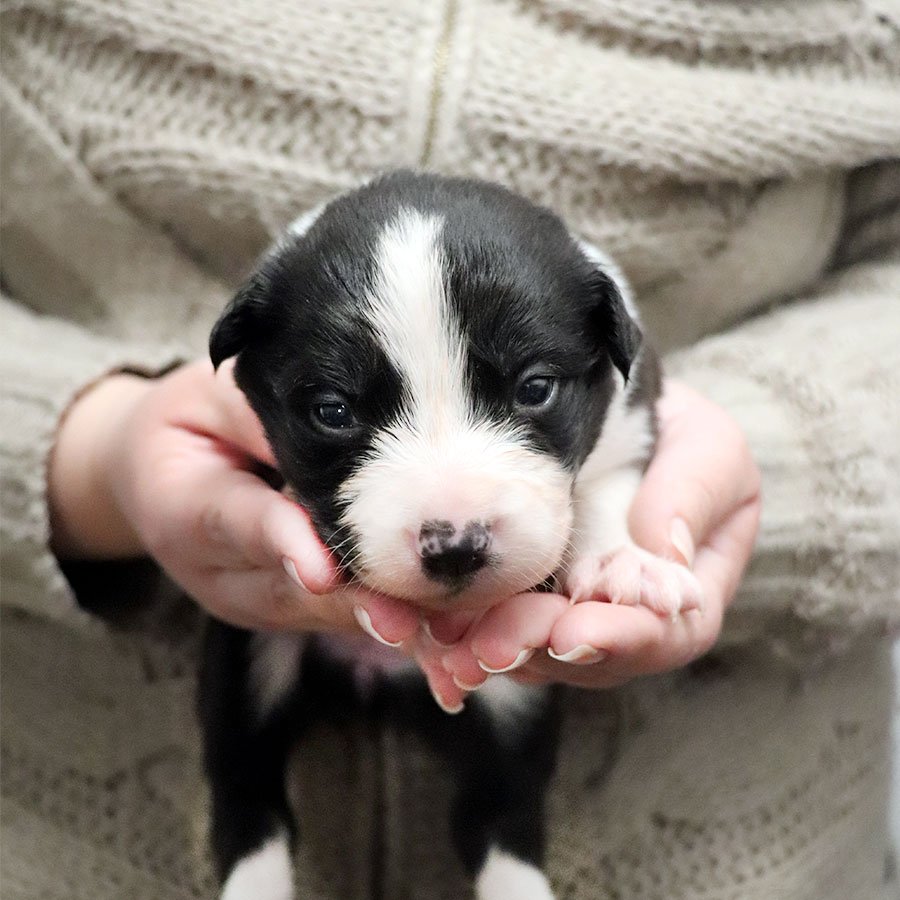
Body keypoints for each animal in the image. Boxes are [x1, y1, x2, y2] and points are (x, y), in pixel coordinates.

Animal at [204, 171, 704, 900]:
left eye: (535, 388)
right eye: (333, 410)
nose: (456, 547)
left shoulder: (634, 415)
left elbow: (607, 488)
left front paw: (623, 565)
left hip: (511, 705)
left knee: (499, 814)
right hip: (248, 657)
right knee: (247, 792)